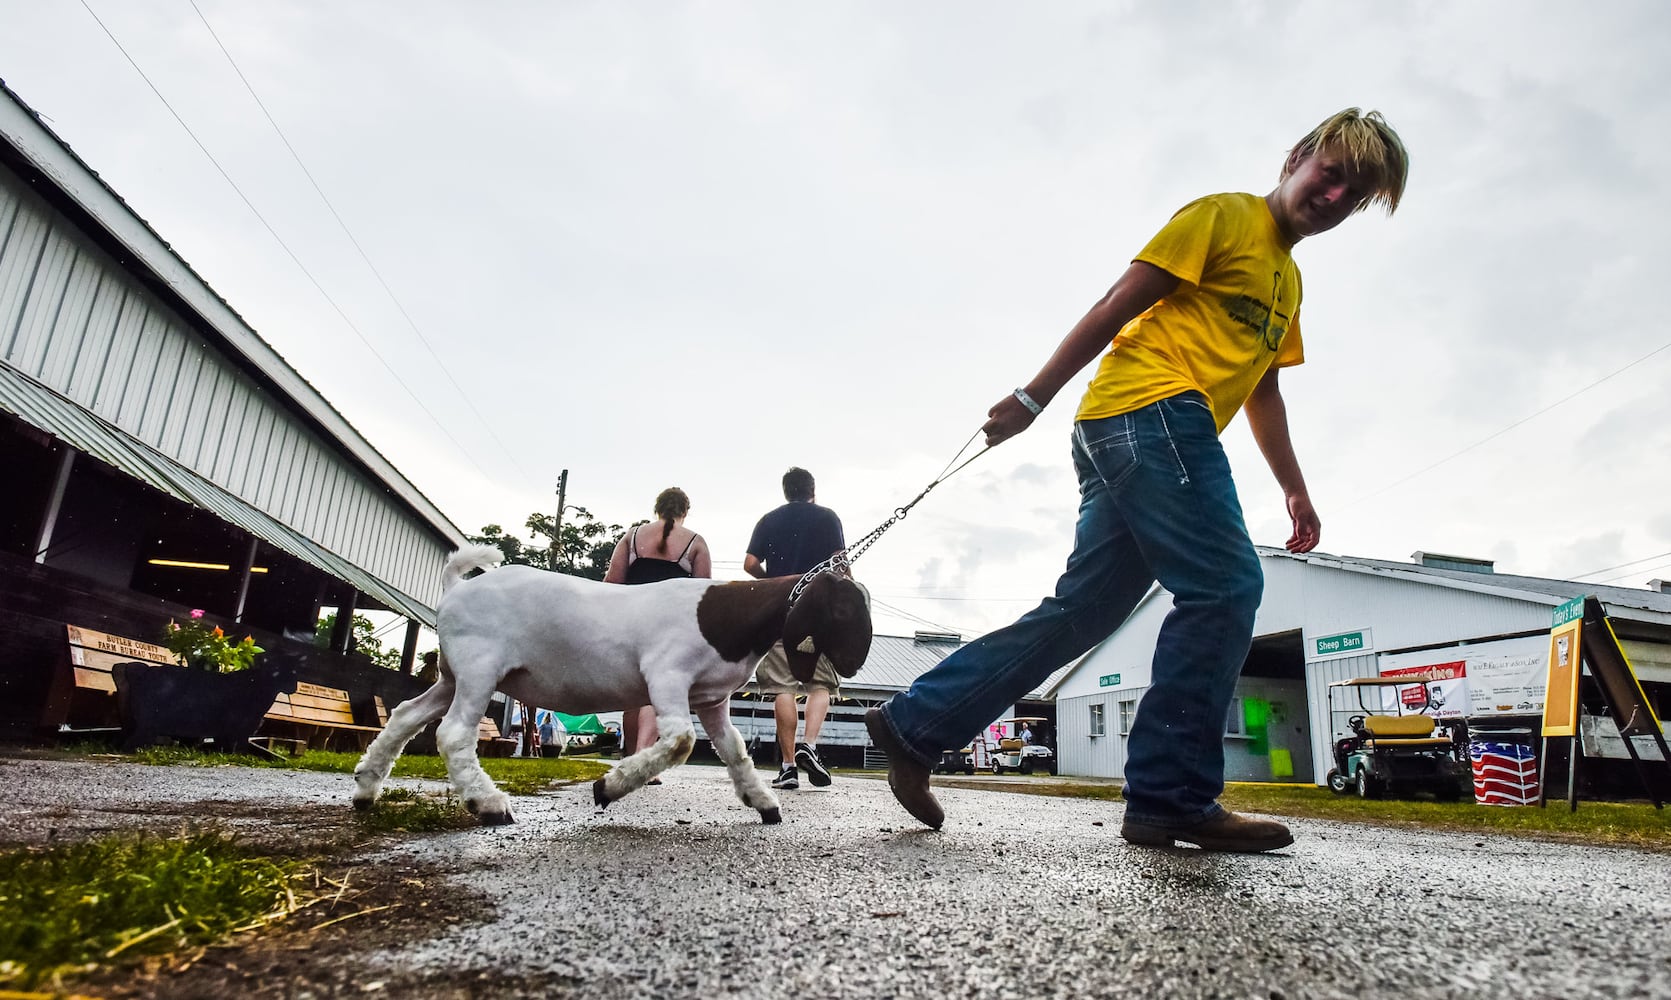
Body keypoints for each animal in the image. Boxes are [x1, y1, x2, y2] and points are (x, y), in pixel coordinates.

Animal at [354, 551, 875, 826]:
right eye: (844, 609)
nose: (855, 661)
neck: (729, 615)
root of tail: (456, 589)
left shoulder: (710, 699)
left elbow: (732, 750)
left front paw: (762, 803)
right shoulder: (666, 674)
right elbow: (680, 741)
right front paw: (608, 786)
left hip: (452, 675)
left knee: (405, 714)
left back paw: (366, 788)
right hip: (479, 670)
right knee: (454, 734)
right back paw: (489, 804)